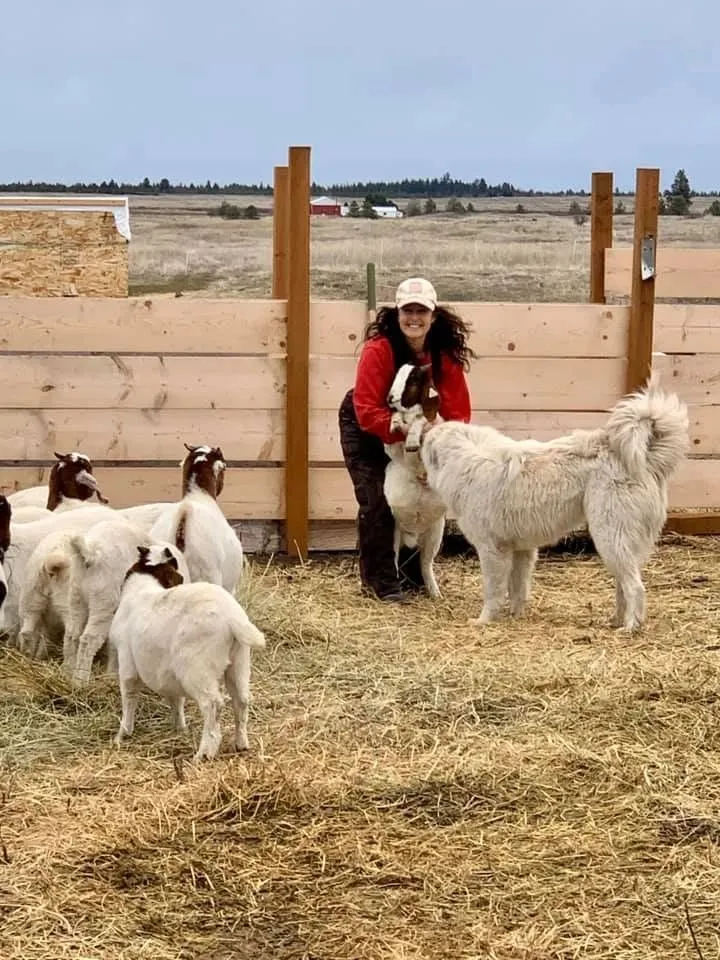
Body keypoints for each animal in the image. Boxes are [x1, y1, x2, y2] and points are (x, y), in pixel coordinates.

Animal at [110, 545, 265, 762]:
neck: (144, 587)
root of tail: (232, 618)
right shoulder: (169, 673)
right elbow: (176, 699)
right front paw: (179, 728)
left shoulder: (127, 663)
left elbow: (129, 696)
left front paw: (122, 735)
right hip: (239, 662)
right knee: (241, 700)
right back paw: (241, 744)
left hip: (198, 669)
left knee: (213, 704)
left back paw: (203, 754)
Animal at [383, 363, 447, 598]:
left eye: (413, 379)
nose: (390, 398)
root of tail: (412, 536)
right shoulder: (391, 448)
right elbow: (397, 422)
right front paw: (395, 425)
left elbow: (420, 420)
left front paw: (412, 440)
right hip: (393, 533)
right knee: (393, 559)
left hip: (435, 534)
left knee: (425, 564)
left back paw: (436, 593)